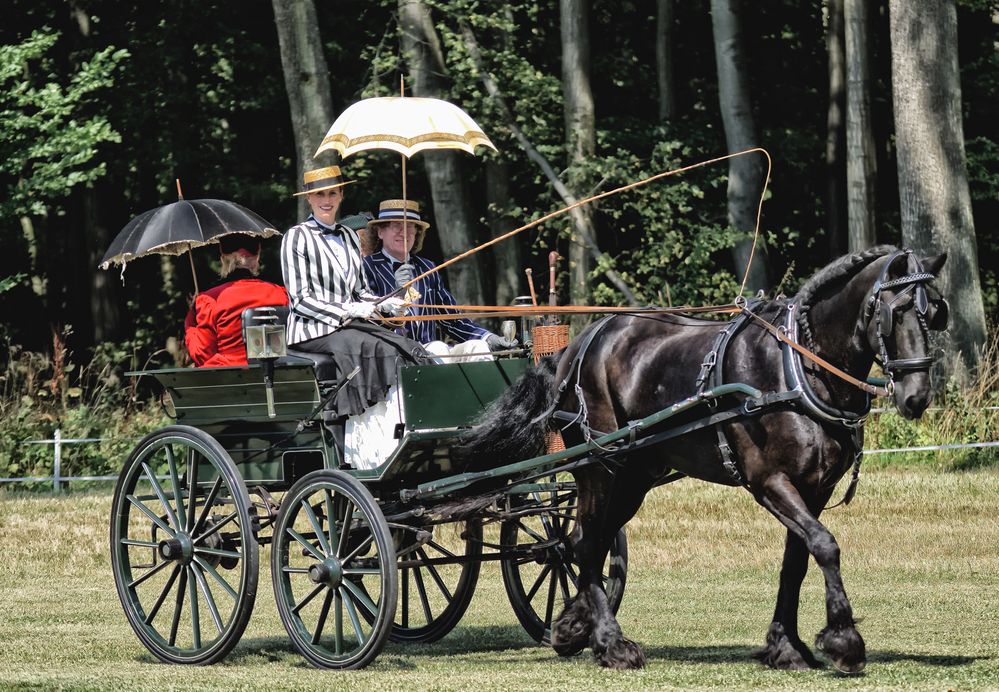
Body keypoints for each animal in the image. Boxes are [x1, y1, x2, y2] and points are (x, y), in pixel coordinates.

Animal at [458, 247, 948, 672]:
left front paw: (786, 647)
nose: (917, 396)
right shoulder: (770, 480)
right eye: (895, 312)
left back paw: (573, 628)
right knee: (584, 544)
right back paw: (612, 643)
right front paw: (844, 641)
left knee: (585, 540)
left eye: (936, 312)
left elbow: (798, 559)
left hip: (633, 475)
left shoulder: (814, 488)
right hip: (599, 467)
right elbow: (825, 545)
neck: (797, 369)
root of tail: (574, 349)